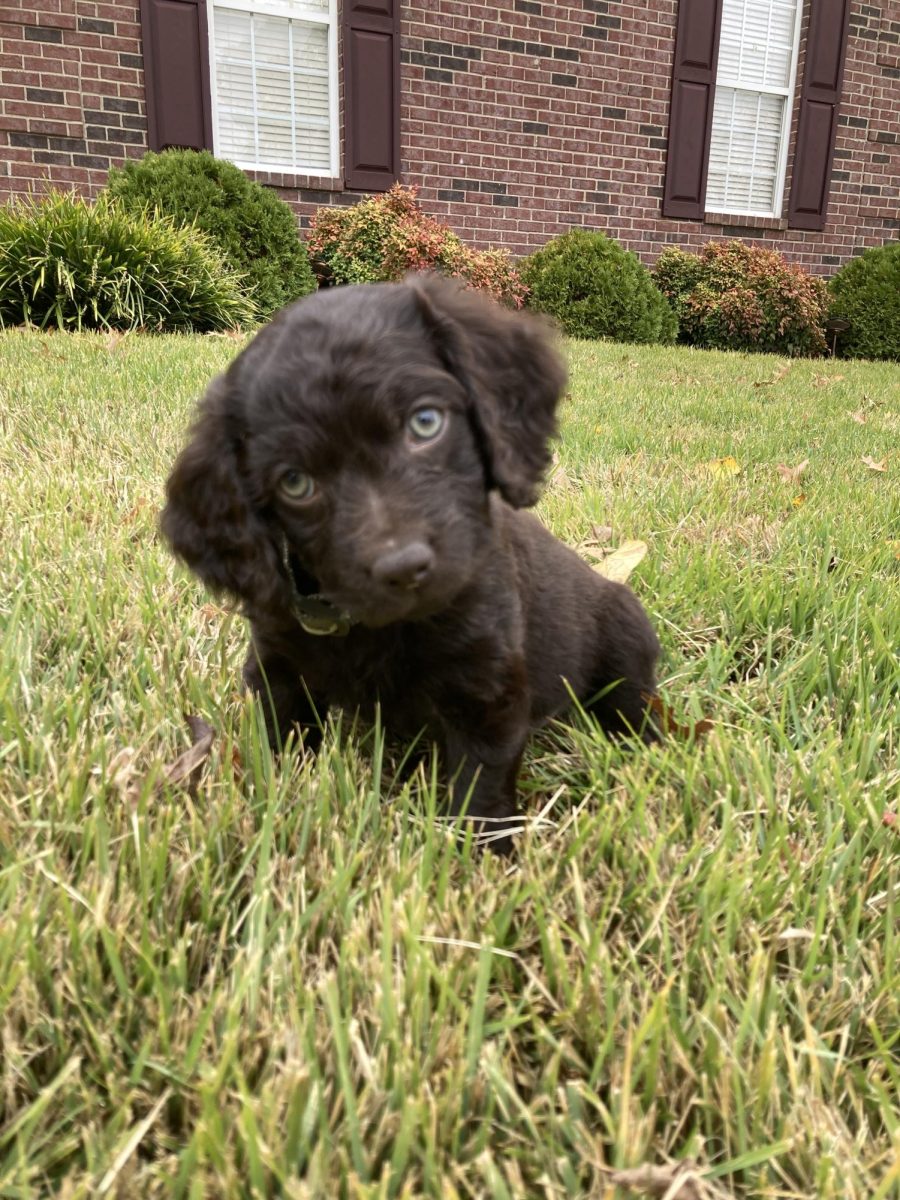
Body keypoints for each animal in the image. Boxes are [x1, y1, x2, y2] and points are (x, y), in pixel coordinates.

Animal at [160, 274, 662, 849]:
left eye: (425, 423)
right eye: (295, 483)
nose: (402, 567)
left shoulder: (487, 692)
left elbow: (481, 790)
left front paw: (484, 857)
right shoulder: (278, 666)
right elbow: (275, 746)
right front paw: (267, 804)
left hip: (625, 645)